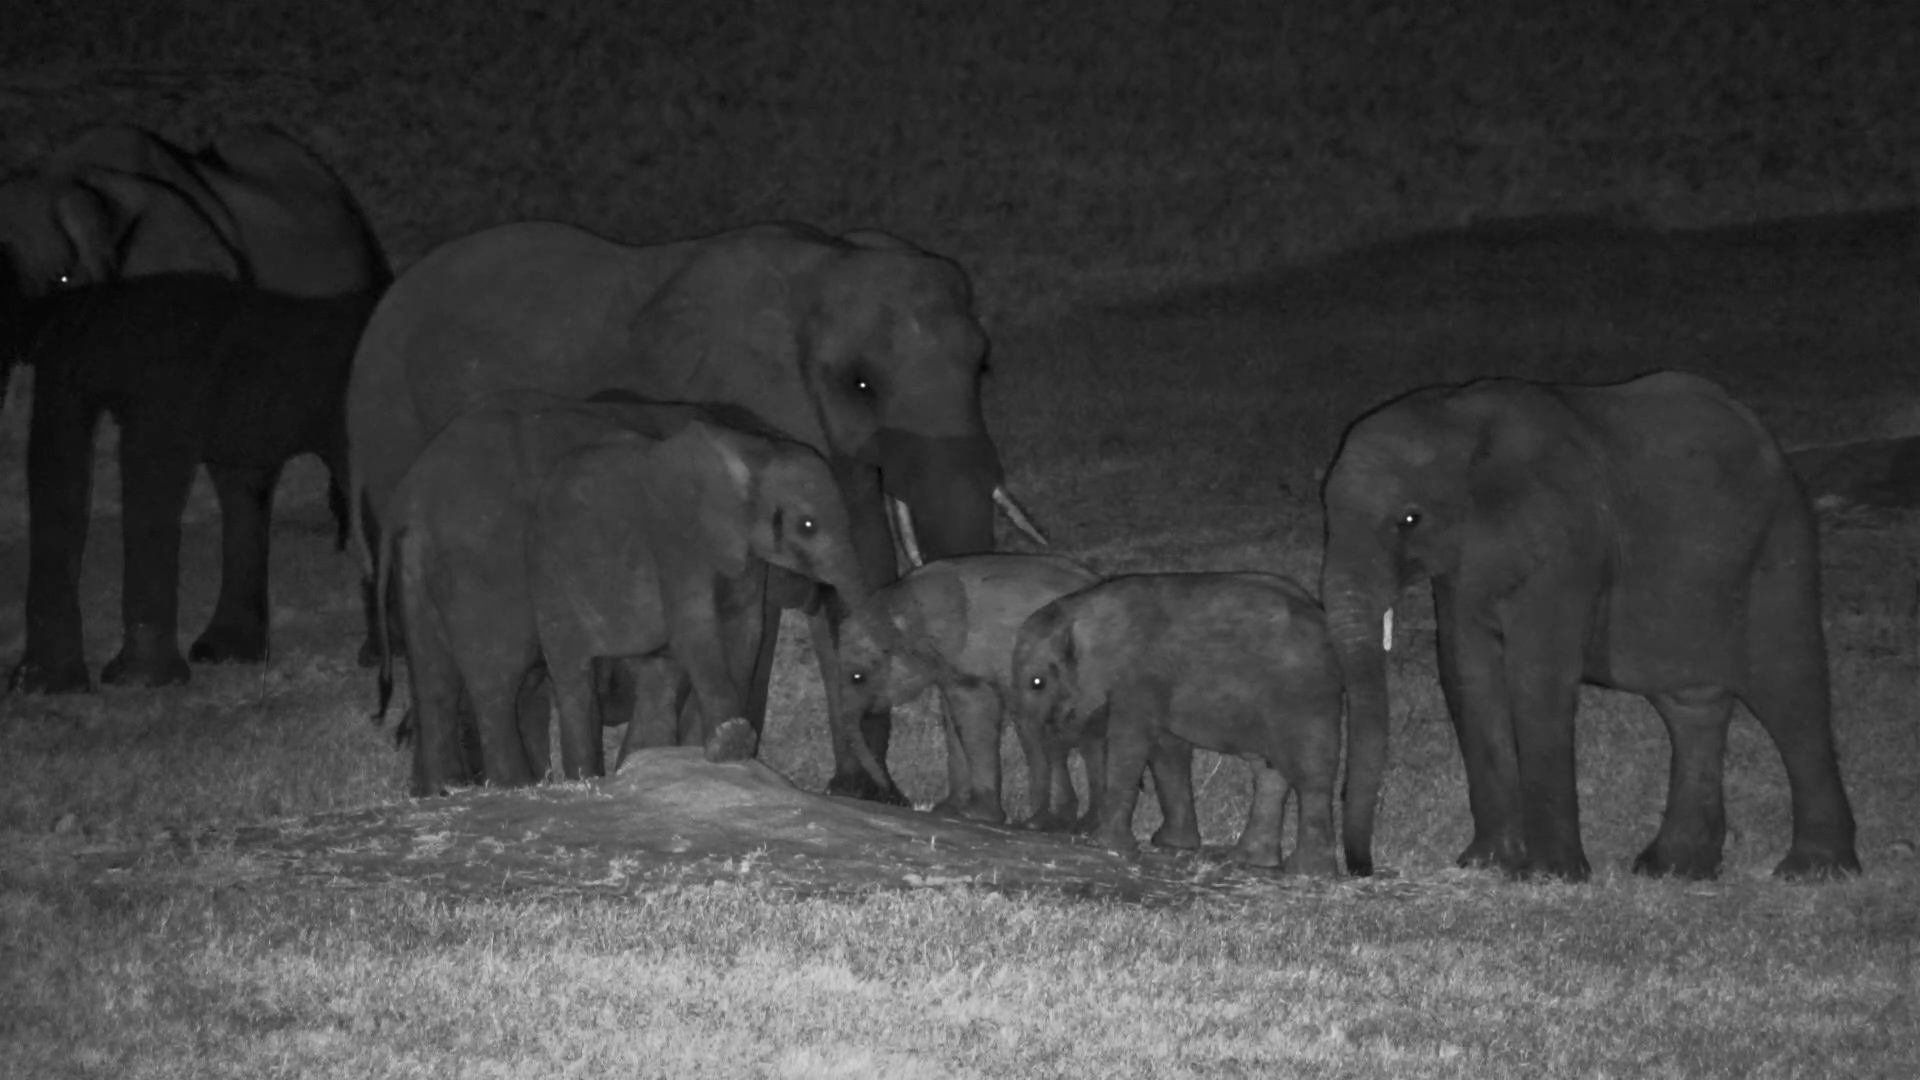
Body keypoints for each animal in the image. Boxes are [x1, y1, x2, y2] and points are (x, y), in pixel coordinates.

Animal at [378, 391, 868, 796]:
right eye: (807, 526)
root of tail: (410, 499)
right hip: (486, 567)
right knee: (497, 679)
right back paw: (514, 787)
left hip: (423, 573)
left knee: (436, 680)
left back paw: (443, 791)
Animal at [835, 553, 1101, 825]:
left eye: (858, 677)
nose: (893, 796)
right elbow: (954, 717)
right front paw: (950, 811)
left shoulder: (967, 649)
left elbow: (976, 709)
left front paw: (979, 815)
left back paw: (1046, 824)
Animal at [1008, 572, 1346, 876]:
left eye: (1037, 682)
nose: (1028, 825)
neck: (1081, 608)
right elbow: (1167, 750)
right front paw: (1172, 845)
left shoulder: (1139, 676)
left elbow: (1130, 743)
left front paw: (1104, 845)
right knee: (1269, 772)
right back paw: (1252, 861)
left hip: (1304, 698)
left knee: (1310, 773)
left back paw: (1307, 872)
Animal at [1321, 370, 1860, 882]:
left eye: (1410, 520)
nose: (1364, 868)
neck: (1456, 419)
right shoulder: (1465, 564)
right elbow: (1465, 671)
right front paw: (1486, 866)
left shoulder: (1570, 542)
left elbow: (1536, 676)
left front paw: (1548, 877)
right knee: (1691, 706)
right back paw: (1674, 868)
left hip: (1779, 547)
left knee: (1789, 693)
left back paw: (1813, 871)